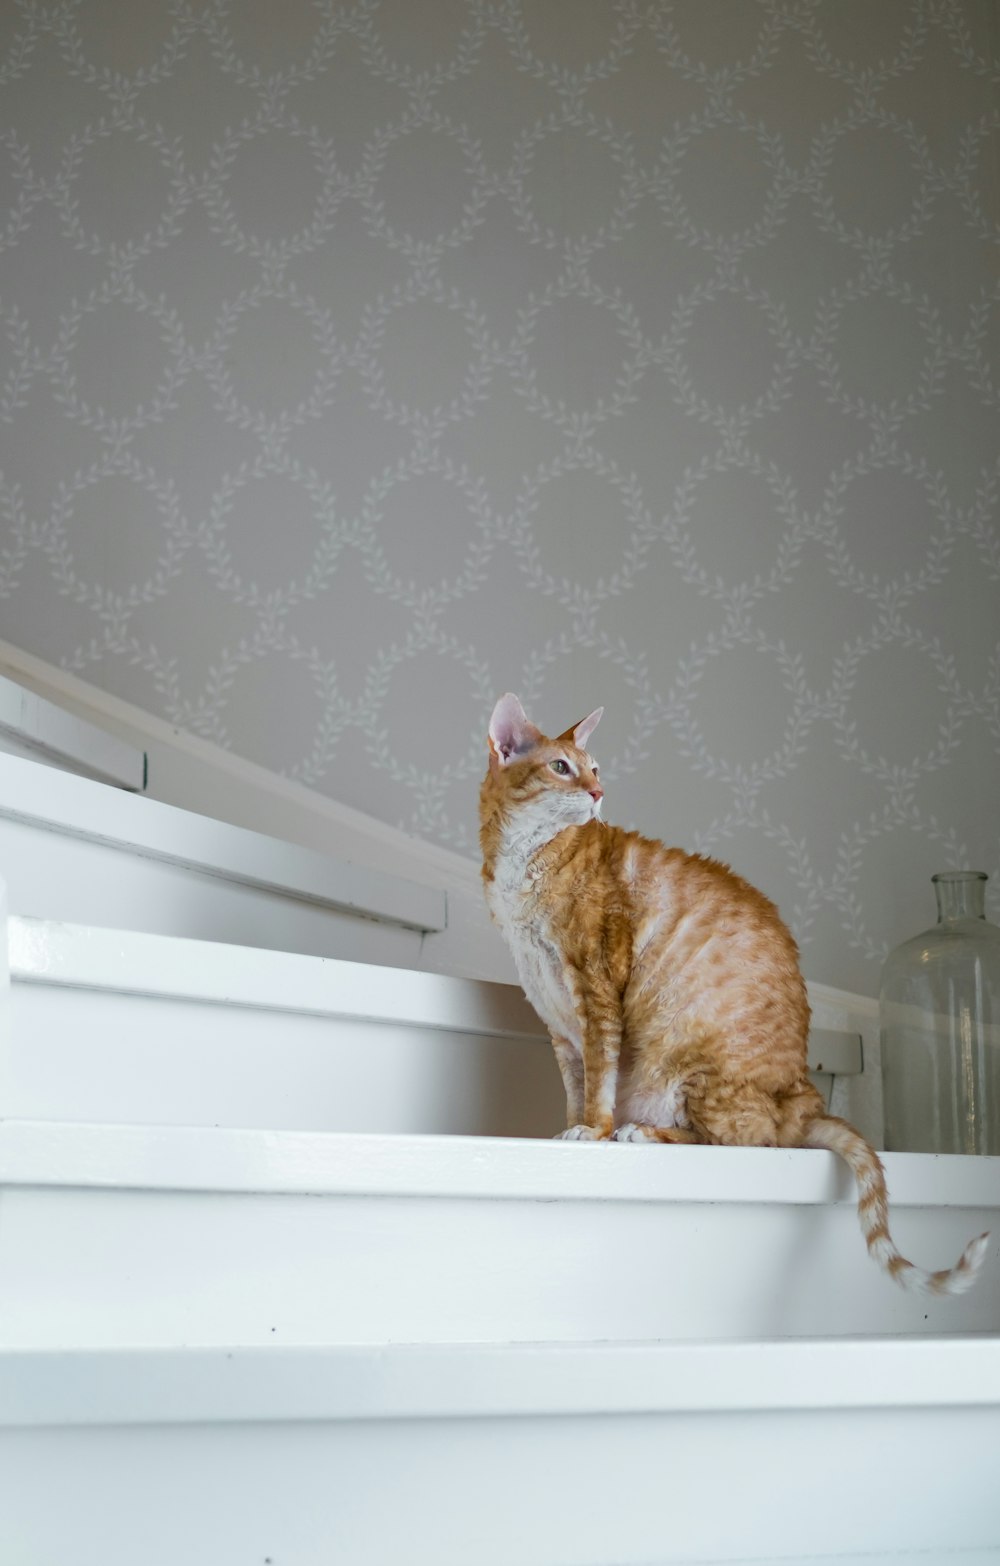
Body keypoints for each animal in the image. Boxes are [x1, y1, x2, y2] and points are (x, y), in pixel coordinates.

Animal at [482, 698, 989, 1296]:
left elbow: (599, 1079)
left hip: (687, 1065)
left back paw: (642, 1132)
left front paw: (594, 1130)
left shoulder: (595, 991)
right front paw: (562, 1133)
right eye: (562, 768)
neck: (518, 872)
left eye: (595, 768)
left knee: (749, 1141)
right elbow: (575, 1083)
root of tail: (805, 1097)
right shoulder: (554, 1015)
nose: (598, 792)